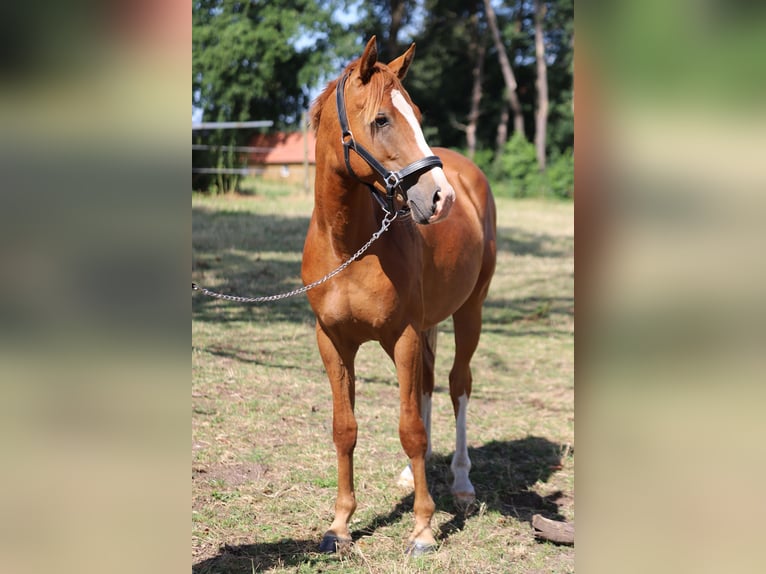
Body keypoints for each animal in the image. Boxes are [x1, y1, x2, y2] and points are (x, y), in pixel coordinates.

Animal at [300, 37, 498, 560]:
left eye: (419, 114)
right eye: (383, 119)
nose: (441, 198)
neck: (349, 247)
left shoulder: (403, 335)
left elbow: (410, 427)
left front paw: (423, 529)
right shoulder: (333, 342)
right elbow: (345, 429)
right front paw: (340, 526)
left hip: (470, 312)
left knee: (456, 385)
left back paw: (462, 485)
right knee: (426, 387)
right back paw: (414, 474)